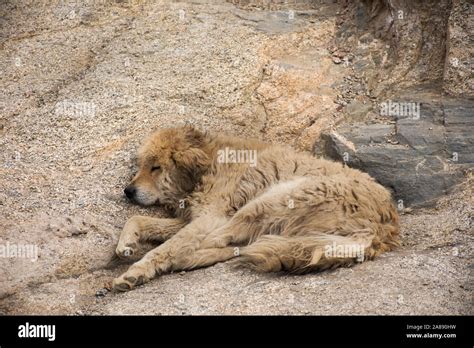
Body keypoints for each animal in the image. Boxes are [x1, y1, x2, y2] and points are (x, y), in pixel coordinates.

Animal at [112, 125, 400, 290]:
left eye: (155, 167)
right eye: (141, 165)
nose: (128, 191)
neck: (209, 163)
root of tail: (383, 226)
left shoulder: (209, 218)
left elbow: (167, 248)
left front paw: (138, 271)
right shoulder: (191, 218)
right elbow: (138, 220)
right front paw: (126, 243)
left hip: (271, 198)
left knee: (225, 241)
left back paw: (184, 260)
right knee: (242, 245)